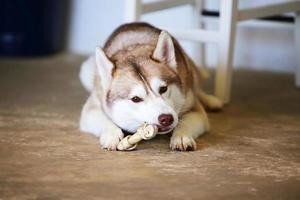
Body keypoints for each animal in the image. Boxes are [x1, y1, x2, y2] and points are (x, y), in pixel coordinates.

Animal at [78, 22, 221, 151]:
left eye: (163, 89)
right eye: (136, 99)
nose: (166, 119)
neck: (133, 50)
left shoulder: (194, 108)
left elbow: (186, 122)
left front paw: (181, 136)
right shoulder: (91, 109)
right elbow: (103, 120)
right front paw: (111, 134)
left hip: (189, 70)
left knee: (197, 87)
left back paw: (211, 100)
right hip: (86, 70)